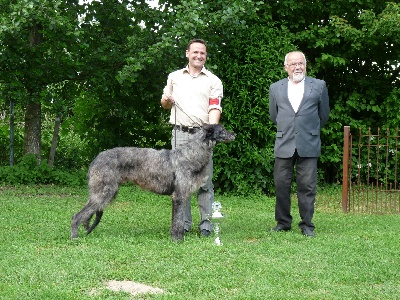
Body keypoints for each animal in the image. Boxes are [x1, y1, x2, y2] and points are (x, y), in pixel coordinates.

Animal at [70, 124, 236, 241]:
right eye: (222, 129)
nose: (234, 134)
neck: (191, 154)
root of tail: (95, 160)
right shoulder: (179, 196)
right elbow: (178, 220)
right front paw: (178, 240)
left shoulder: (178, 197)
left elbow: (176, 219)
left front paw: (174, 237)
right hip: (104, 192)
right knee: (77, 215)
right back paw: (74, 236)